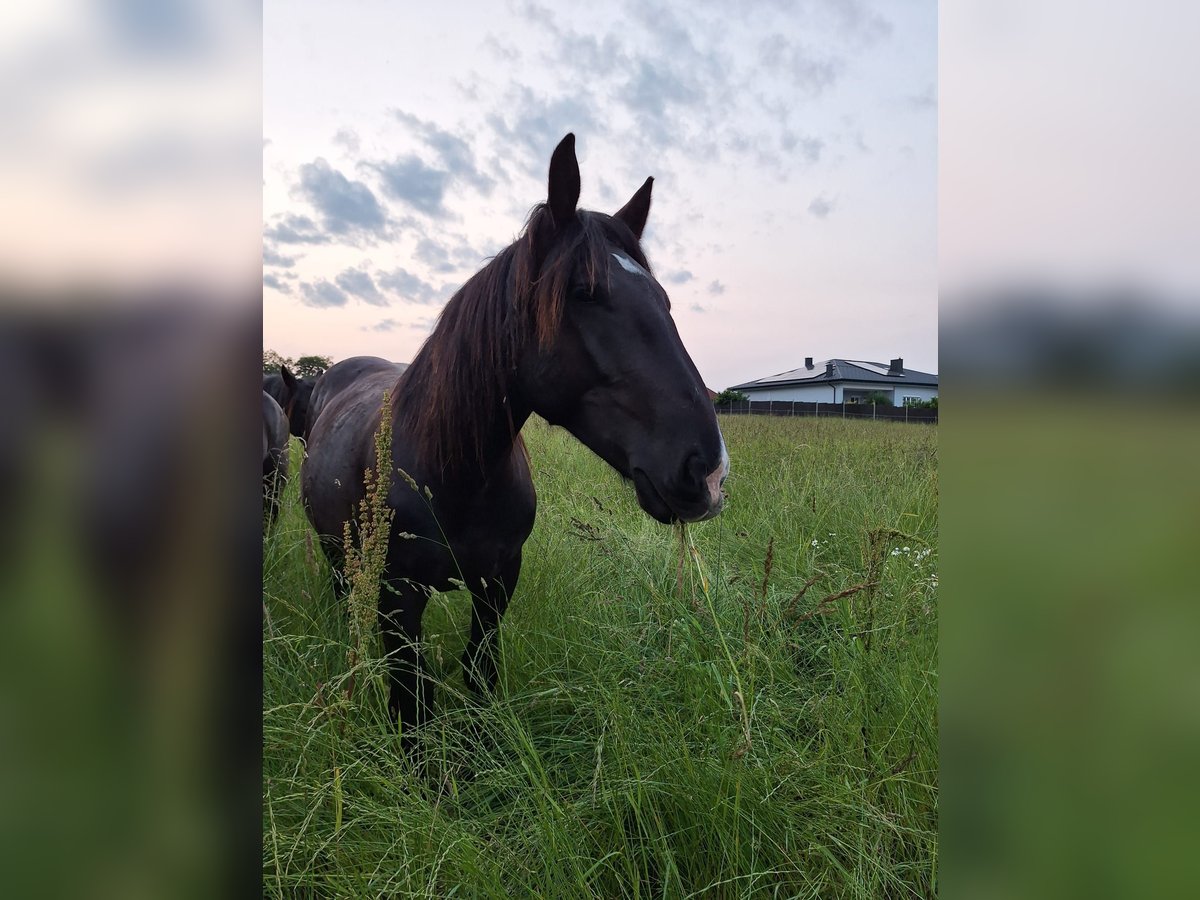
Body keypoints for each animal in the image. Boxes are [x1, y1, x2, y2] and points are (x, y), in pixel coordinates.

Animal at [301, 133, 729, 743]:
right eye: (584, 291)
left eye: (665, 300)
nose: (709, 471)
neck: (452, 474)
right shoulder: (397, 598)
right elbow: (413, 703)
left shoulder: (498, 581)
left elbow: (478, 672)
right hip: (339, 554)